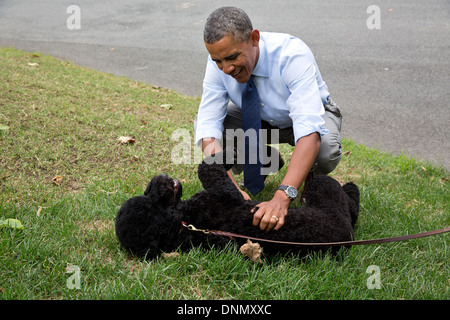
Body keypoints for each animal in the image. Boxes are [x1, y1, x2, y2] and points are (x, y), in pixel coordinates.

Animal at [115, 150, 358, 260]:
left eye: (149, 192)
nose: (160, 179)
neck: (184, 223)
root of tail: (345, 239)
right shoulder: (222, 190)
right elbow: (207, 166)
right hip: (326, 190)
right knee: (350, 202)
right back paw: (351, 187)